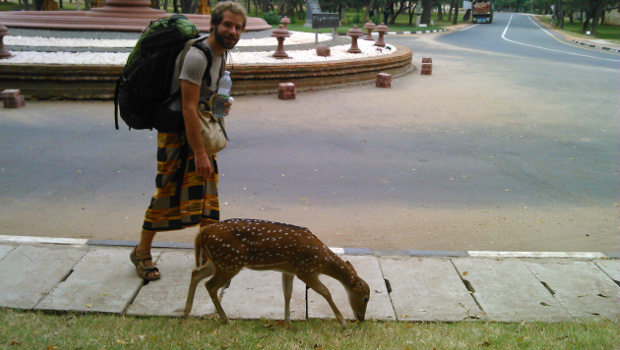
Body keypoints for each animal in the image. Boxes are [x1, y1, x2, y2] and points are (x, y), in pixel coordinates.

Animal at [184, 219, 368, 328]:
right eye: (366, 298)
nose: (361, 318)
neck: (321, 259)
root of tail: (202, 232)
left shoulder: (288, 270)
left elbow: (287, 293)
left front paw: (287, 323)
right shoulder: (306, 270)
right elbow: (326, 292)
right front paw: (343, 322)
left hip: (217, 261)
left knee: (196, 273)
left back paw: (186, 312)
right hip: (229, 262)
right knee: (210, 285)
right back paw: (226, 319)